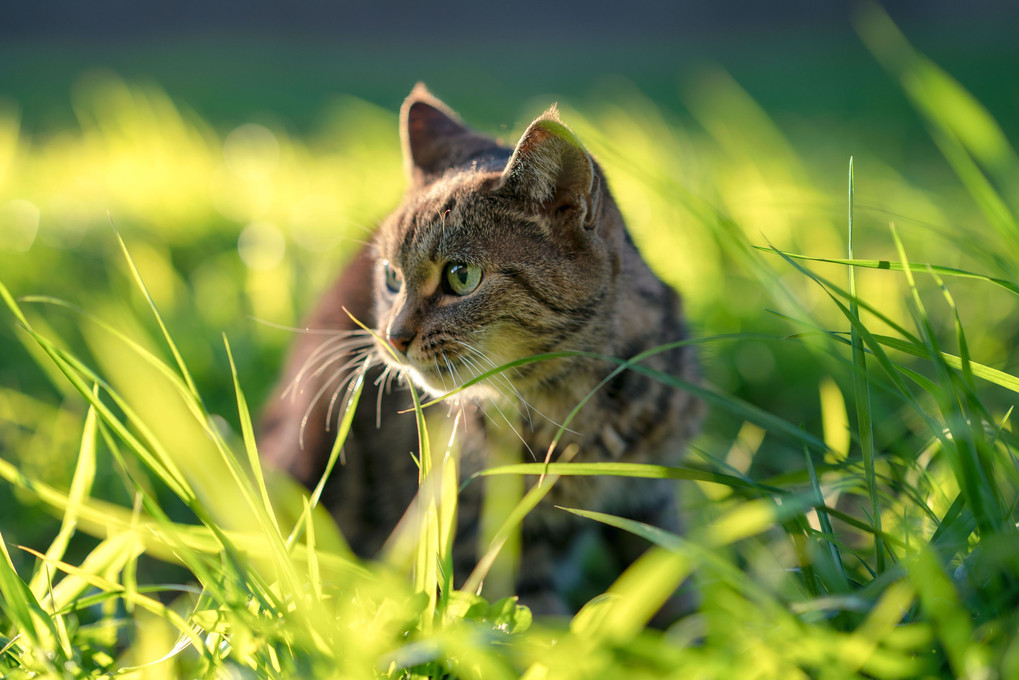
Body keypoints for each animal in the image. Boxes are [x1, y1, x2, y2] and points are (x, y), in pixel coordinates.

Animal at [256, 83, 701, 615]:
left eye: (461, 275)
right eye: (391, 277)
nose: (393, 337)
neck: (574, 407)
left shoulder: (650, 497)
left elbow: (673, 597)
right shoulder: (488, 536)